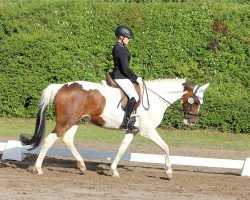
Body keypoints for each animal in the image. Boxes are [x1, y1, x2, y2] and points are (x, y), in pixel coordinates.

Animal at [20, 77, 210, 179]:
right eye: (196, 101)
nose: (191, 122)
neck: (156, 98)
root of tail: (61, 87)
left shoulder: (132, 130)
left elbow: (121, 149)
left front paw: (114, 171)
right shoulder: (147, 131)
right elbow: (165, 147)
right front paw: (169, 172)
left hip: (76, 121)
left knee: (67, 139)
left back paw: (82, 166)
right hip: (65, 122)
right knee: (49, 140)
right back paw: (38, 168)